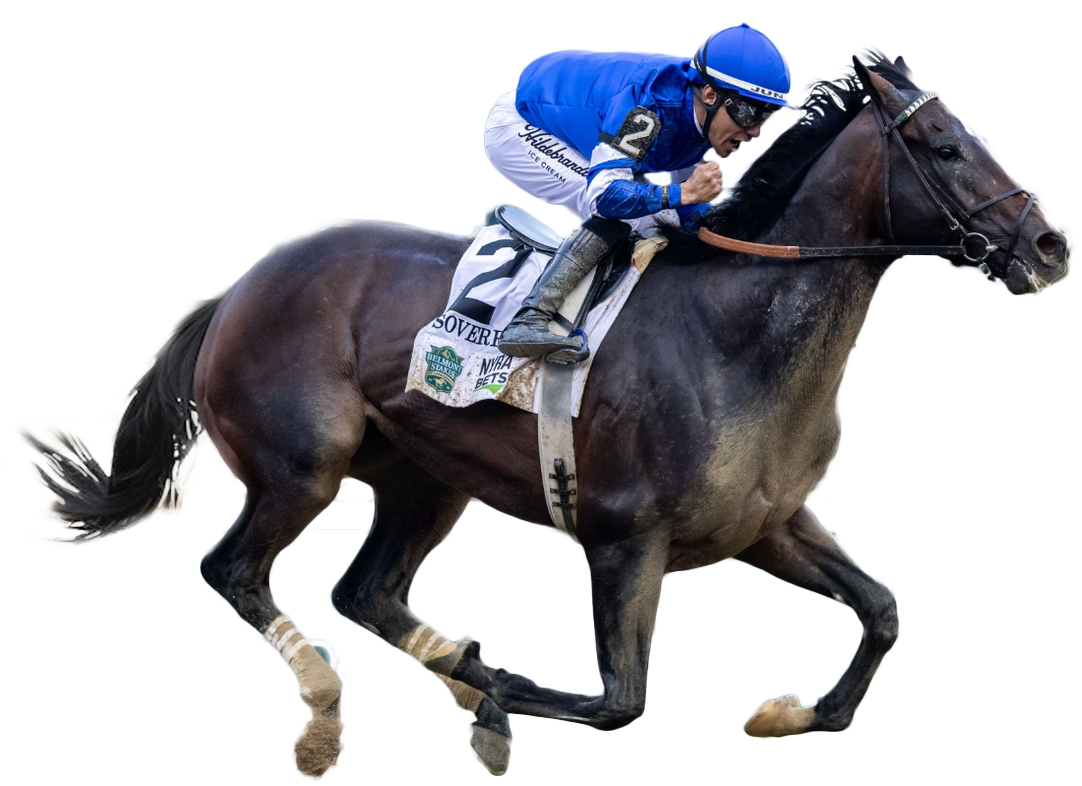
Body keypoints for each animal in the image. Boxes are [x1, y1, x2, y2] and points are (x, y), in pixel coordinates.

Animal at [20, 48, 1072, 781]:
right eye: (945, 147)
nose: (1049, 244)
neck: (737, 336)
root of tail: (238, 285)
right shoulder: (623, 538)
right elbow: (617, 701)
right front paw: (503, 698)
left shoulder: (767, 523)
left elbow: (882, 611)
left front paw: (785, 713)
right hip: (302, 466)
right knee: (233, 568)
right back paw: (334, 707)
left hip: (424, 479)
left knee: (367, 590)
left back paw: (448, 667)